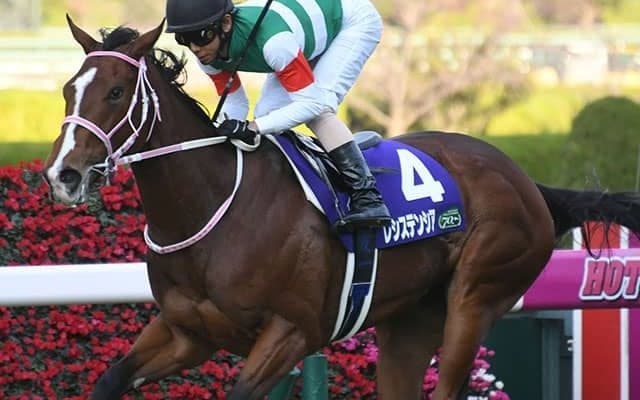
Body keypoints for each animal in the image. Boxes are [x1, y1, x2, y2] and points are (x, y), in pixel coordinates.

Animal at [42, 17, 640, 400]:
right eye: (68, 88)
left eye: (116, 92)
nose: (62, 175)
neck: (213, 209)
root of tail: (529, 182)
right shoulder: (187, 333)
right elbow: (109, 380)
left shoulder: (290, 333)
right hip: (409, 323)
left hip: (476, 298)